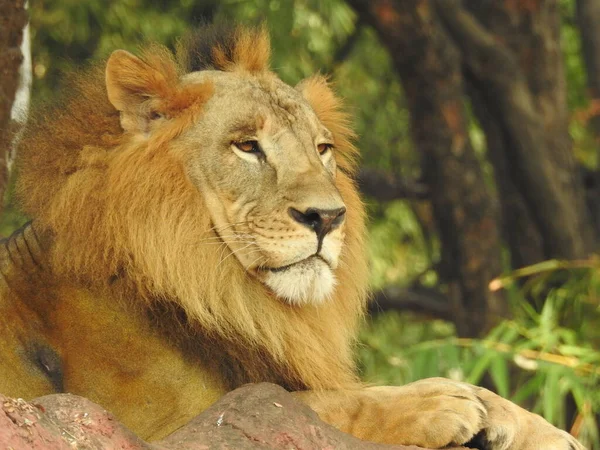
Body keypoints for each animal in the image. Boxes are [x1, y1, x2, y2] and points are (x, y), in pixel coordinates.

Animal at [0, 25, 584, 450]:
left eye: (322, 149)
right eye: (246, 146)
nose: (327, 217)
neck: (221, 289)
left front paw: (539, 428)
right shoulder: (154, 424)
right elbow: (308, 400)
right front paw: (436, 403)